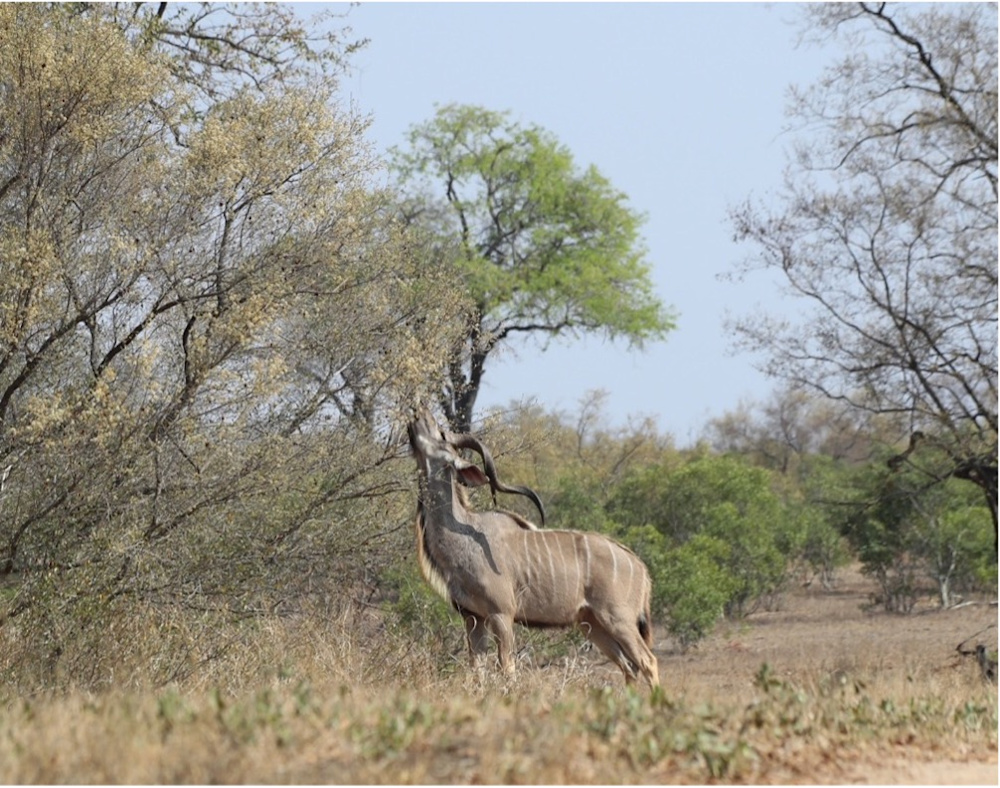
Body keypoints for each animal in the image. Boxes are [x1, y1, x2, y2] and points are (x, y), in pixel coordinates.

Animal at [407, 407, 659, 688]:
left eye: (441, 434)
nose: (419, 415)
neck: (465, 534)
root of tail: (641, 568)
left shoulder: (501, 614)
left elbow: (507, 668)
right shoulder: (473, 617)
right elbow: (477, 671)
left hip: (619, 620)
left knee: (647, 662)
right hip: (591, 624)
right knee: (629, 666)